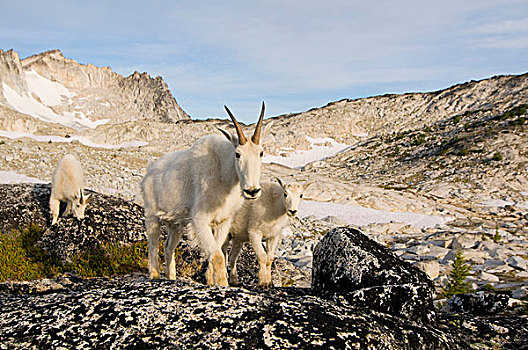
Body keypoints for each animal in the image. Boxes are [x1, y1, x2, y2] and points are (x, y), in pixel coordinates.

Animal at [140, 102, 270, 286]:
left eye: (261, 153)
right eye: (237, 154)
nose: (252, 191)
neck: (223, 174)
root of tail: (150, 169)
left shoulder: (223, 221)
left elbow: (217, 252)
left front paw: (209, 281)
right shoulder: (200, 220)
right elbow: (217, 256)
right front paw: (222, 285)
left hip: (175, 223)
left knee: (168, 246)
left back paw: (171, 277)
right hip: (151, 214)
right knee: (152, 242)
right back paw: (154, 274)